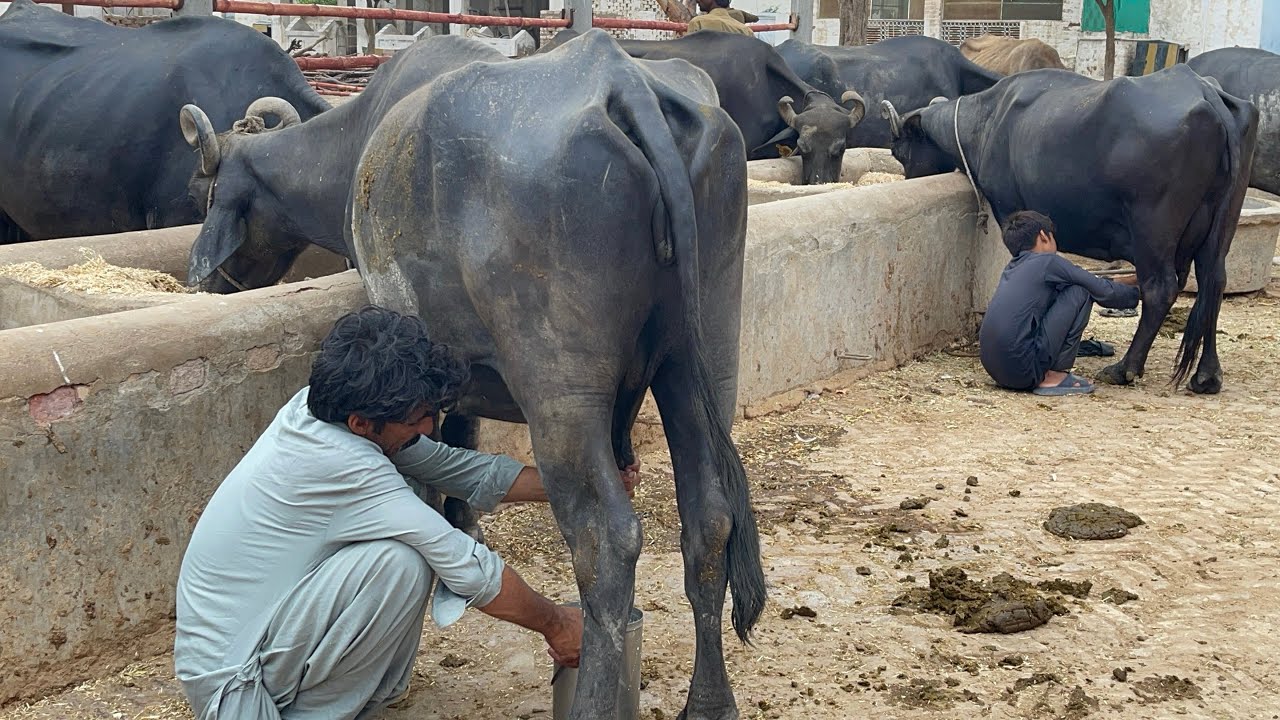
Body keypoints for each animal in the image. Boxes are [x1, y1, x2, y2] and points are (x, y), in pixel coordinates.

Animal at [350, 28, 765, 720]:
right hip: (703, 354)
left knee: (606, 539)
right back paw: (709, 702)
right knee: (709, 518)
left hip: (561, 389)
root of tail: (623, 78)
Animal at [881, 65, 1258, 394]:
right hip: (1222, 226)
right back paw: (1207, 376)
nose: (908, 177)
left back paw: (1125, 368)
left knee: (1161, 288)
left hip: (1153, 228)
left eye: (900, 152)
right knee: (1213, 283)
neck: (988, 121)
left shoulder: (1009, 208)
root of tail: (1205, 92)